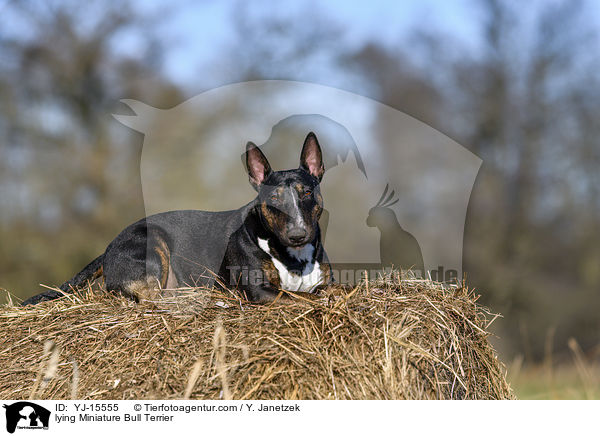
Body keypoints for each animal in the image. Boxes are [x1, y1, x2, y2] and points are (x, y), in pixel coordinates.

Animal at [23, 131, 332, 304]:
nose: (297, 234)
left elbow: (320, 293)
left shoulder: (324, 283)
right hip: (155, 244)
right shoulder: (258, 291)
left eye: (306, 192)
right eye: (274, 199)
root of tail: (108, 248)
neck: (292, 255)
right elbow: (304, 299)